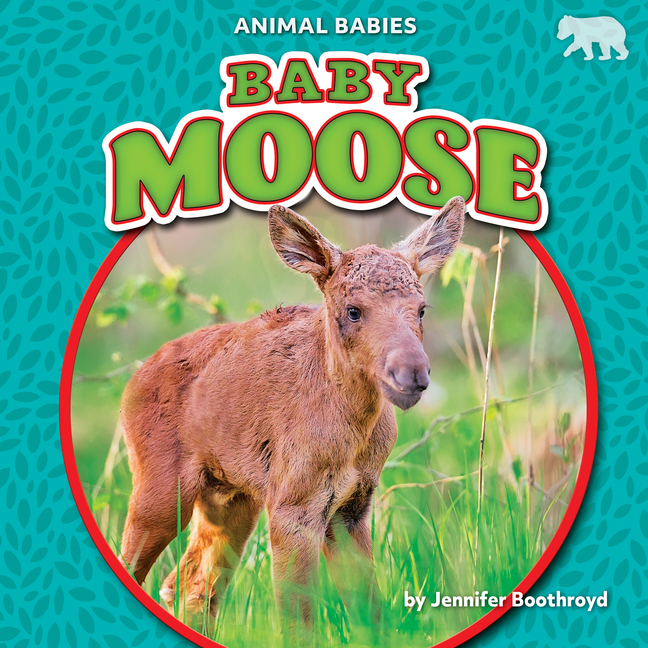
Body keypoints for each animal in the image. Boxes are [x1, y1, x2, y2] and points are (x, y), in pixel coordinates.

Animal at [119, 196, 465, 625]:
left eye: (421, 309)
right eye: (353, 310)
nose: (412, 372)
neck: (353, 433)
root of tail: (132, 381)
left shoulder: (353, 506)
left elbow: (369, 611)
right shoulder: (293, 505)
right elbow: (298, 617)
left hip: (229, 498)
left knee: (191, 583)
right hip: (161, 490)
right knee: (141, 566)